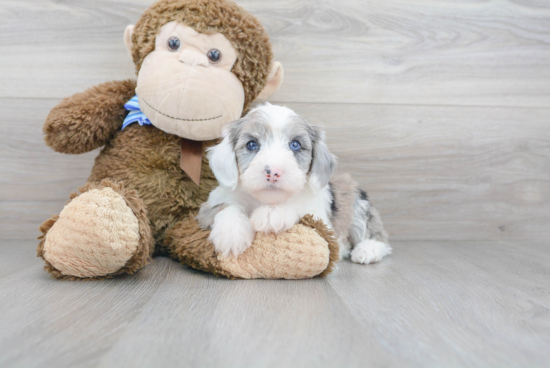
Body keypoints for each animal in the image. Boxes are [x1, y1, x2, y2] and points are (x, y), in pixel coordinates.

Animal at [198, 103, 392, 264]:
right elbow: (227, 206)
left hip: (357, 202)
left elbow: (298, 205)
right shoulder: (207, 207)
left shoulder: (321, 220)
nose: (273, 172)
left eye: (295, 145)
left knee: (375, 233)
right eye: (252, 144)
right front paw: (231, 232)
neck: (265, 200)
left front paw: (273, 213)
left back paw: (368, 249)